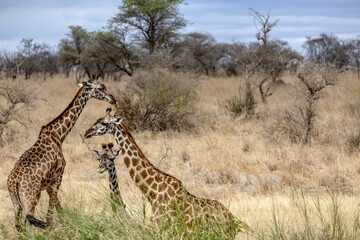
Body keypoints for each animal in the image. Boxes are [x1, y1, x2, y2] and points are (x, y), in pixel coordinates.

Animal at [7, 77, 116, 231]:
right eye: (101, 88)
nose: (113, 99)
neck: (58, 135)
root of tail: (15, 181)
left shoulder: (49, 185)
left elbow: (58, 209)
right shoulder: (57, 178)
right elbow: (51, 214)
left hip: (16, 202)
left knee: (19, 226)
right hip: (30, 200)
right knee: (28, 224)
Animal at [84, 109, 253, 238]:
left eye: (104, 123)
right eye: (97, 119)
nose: (87, 132)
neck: (152, 193)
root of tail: (232, 219)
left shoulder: (164, 230)